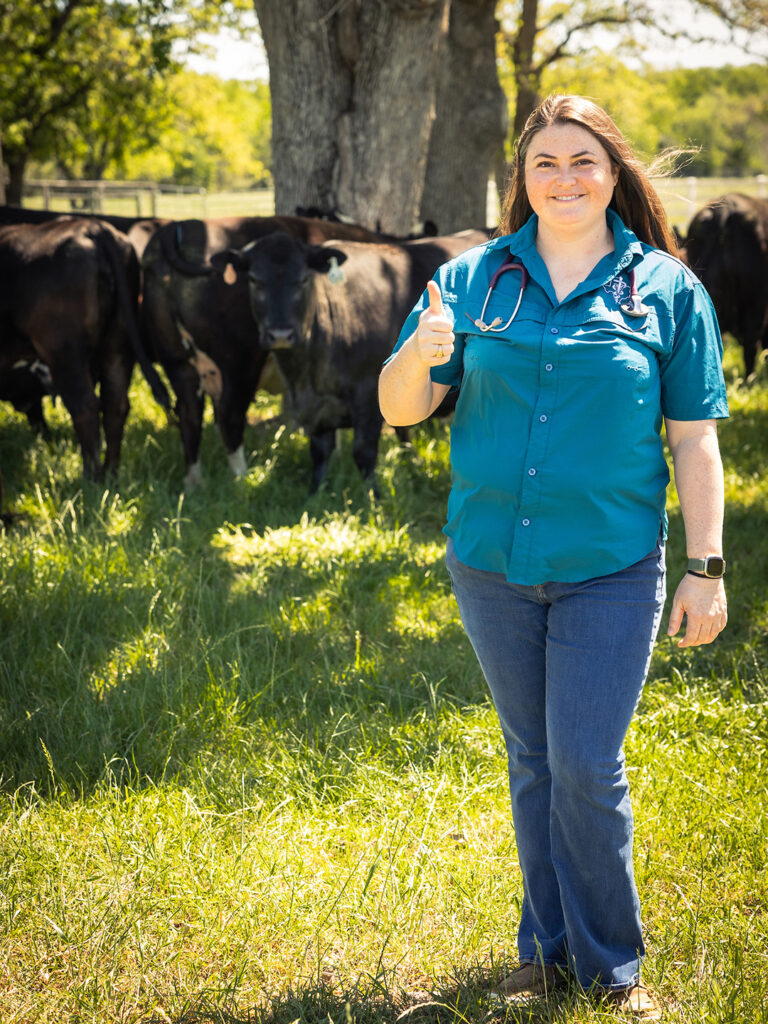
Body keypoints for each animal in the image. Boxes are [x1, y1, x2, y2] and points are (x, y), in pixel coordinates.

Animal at [0, 217, 169, 479]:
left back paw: (91, 477)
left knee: (85, 407)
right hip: (117, 346)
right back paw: (110, 474)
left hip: (64, 352)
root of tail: (93, 226)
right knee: (115, 405)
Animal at [210, 231, 487, 491]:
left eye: (303, 279)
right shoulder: (316, 409)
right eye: (254, 280)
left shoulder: (368, 395)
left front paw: (372, 497)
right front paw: (316, 494)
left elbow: (364, 452)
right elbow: (320, 453)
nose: (280, 334)